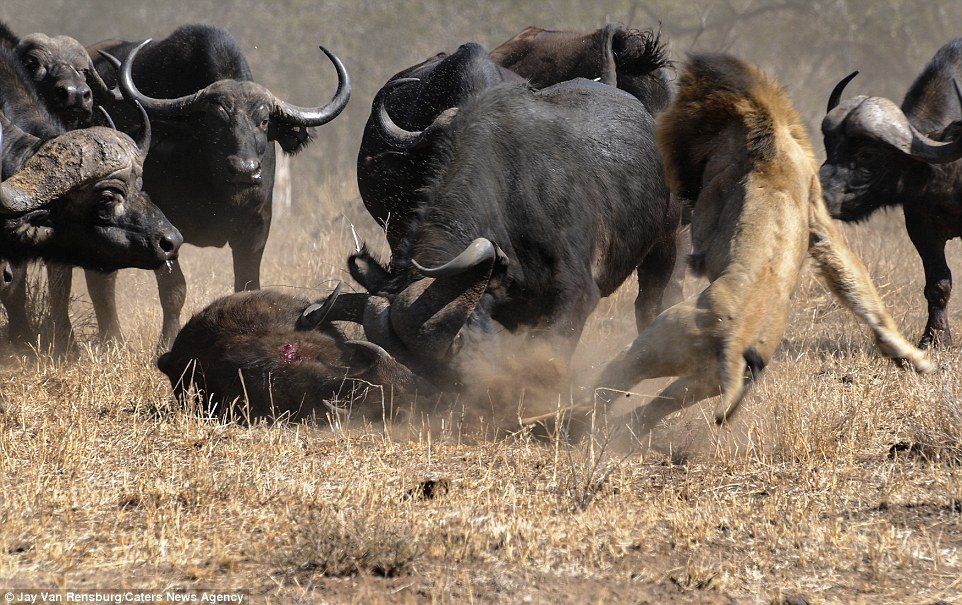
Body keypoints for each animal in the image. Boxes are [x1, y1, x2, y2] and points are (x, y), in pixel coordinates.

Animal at [85, 23, 348, 346]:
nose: (245, 169)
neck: (216, 189)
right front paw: (168, 340)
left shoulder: (257, 226)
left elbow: (247, 284)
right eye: (214, 119)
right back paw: (112, 338)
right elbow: (174, 290)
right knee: (101, 278)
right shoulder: (163, 229)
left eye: (263, 121)